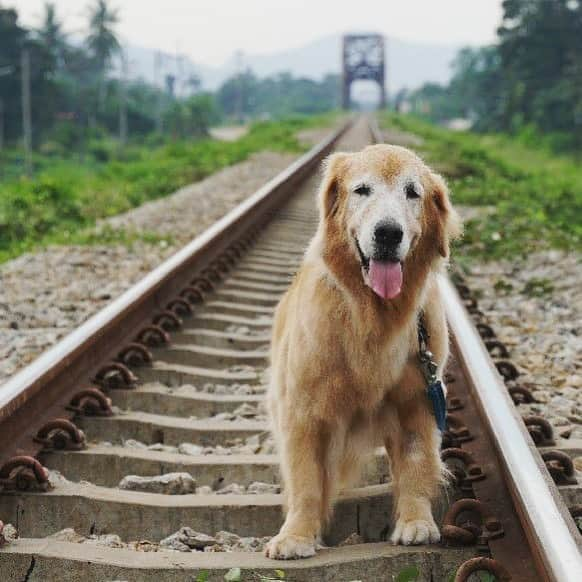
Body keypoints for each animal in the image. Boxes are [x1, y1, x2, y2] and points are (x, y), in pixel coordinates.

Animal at [264, 143, 460, 560]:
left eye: (412, 192)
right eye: (362, 189)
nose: (387, 233)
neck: (371, 314)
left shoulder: (419, 399)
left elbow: (417, 462)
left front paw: (416, 523)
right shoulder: (302, 409)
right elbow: (305, 478)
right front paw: (296, 536)